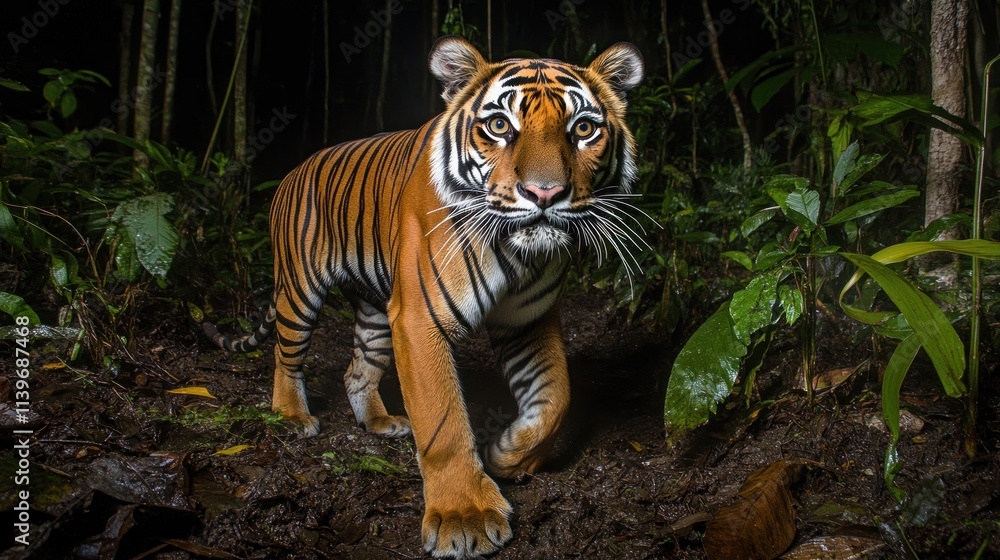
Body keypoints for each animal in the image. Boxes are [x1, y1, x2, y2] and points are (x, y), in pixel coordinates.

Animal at [203, 36, 644, 559]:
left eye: (583, 129)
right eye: (499, 126)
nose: (544, 193)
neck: (519, 254)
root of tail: (293, 171)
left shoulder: (527, 322)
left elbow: (556, 396)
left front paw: (509, 456)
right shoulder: (419, 319)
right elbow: (443, 420)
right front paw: (464, 516)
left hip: (376, 310)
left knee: (357, 370)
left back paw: (381, 423)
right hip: (299, 290)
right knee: (285, 356)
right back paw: (292, 416)